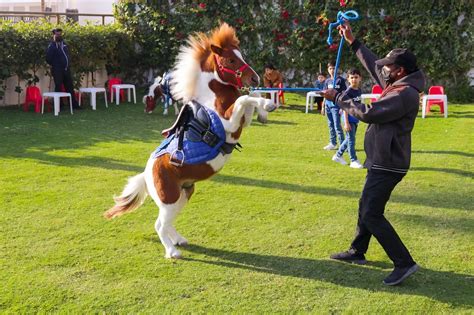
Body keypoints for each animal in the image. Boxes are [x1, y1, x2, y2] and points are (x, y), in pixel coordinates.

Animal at [103, 22, 274, 260]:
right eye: (231, 60)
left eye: (241, 55)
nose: (255, 79)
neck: (212, 98)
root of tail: (146, 175)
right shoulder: (228, 123)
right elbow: (243, 98)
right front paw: (267, 104)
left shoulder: (240, 122)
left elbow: (249, 100)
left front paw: (267, 107)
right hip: (169, 198)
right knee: (159, 225)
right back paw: (172, 251)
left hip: (184, 194)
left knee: (166, 223)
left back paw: (179, 240)